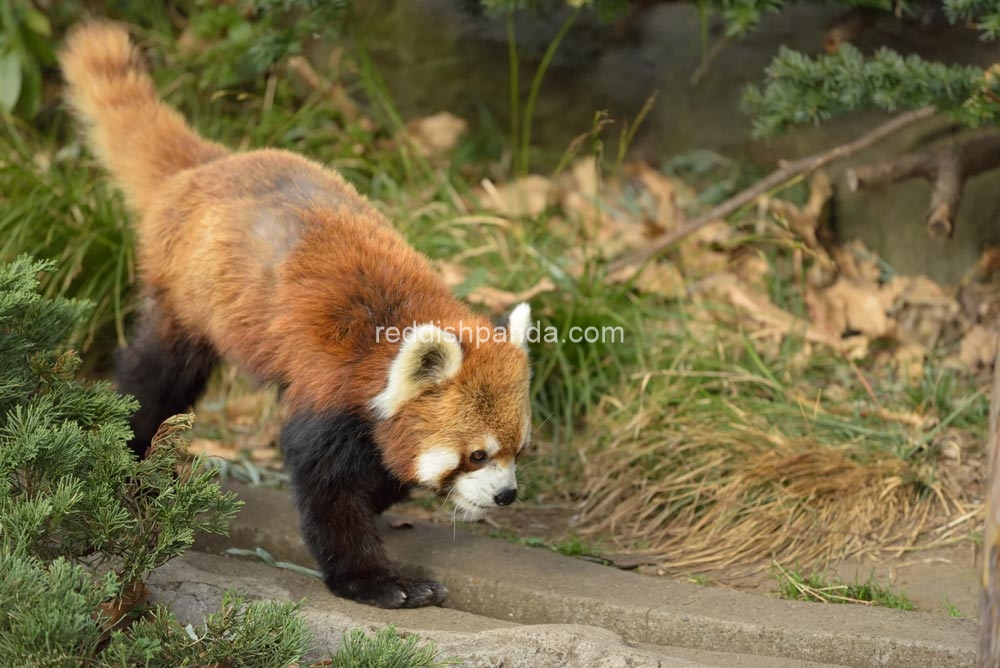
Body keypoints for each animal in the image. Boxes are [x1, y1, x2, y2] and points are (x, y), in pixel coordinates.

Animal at [58, 20, 536, 608]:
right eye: (476, 456)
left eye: (518, 450)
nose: (507, 495)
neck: (387, 339)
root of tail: (208, 163)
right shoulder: (330, 383)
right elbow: (326, 485)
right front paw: (377, 580)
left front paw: (385, 498)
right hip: (188, 298)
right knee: (157, 375)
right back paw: (131, 451)